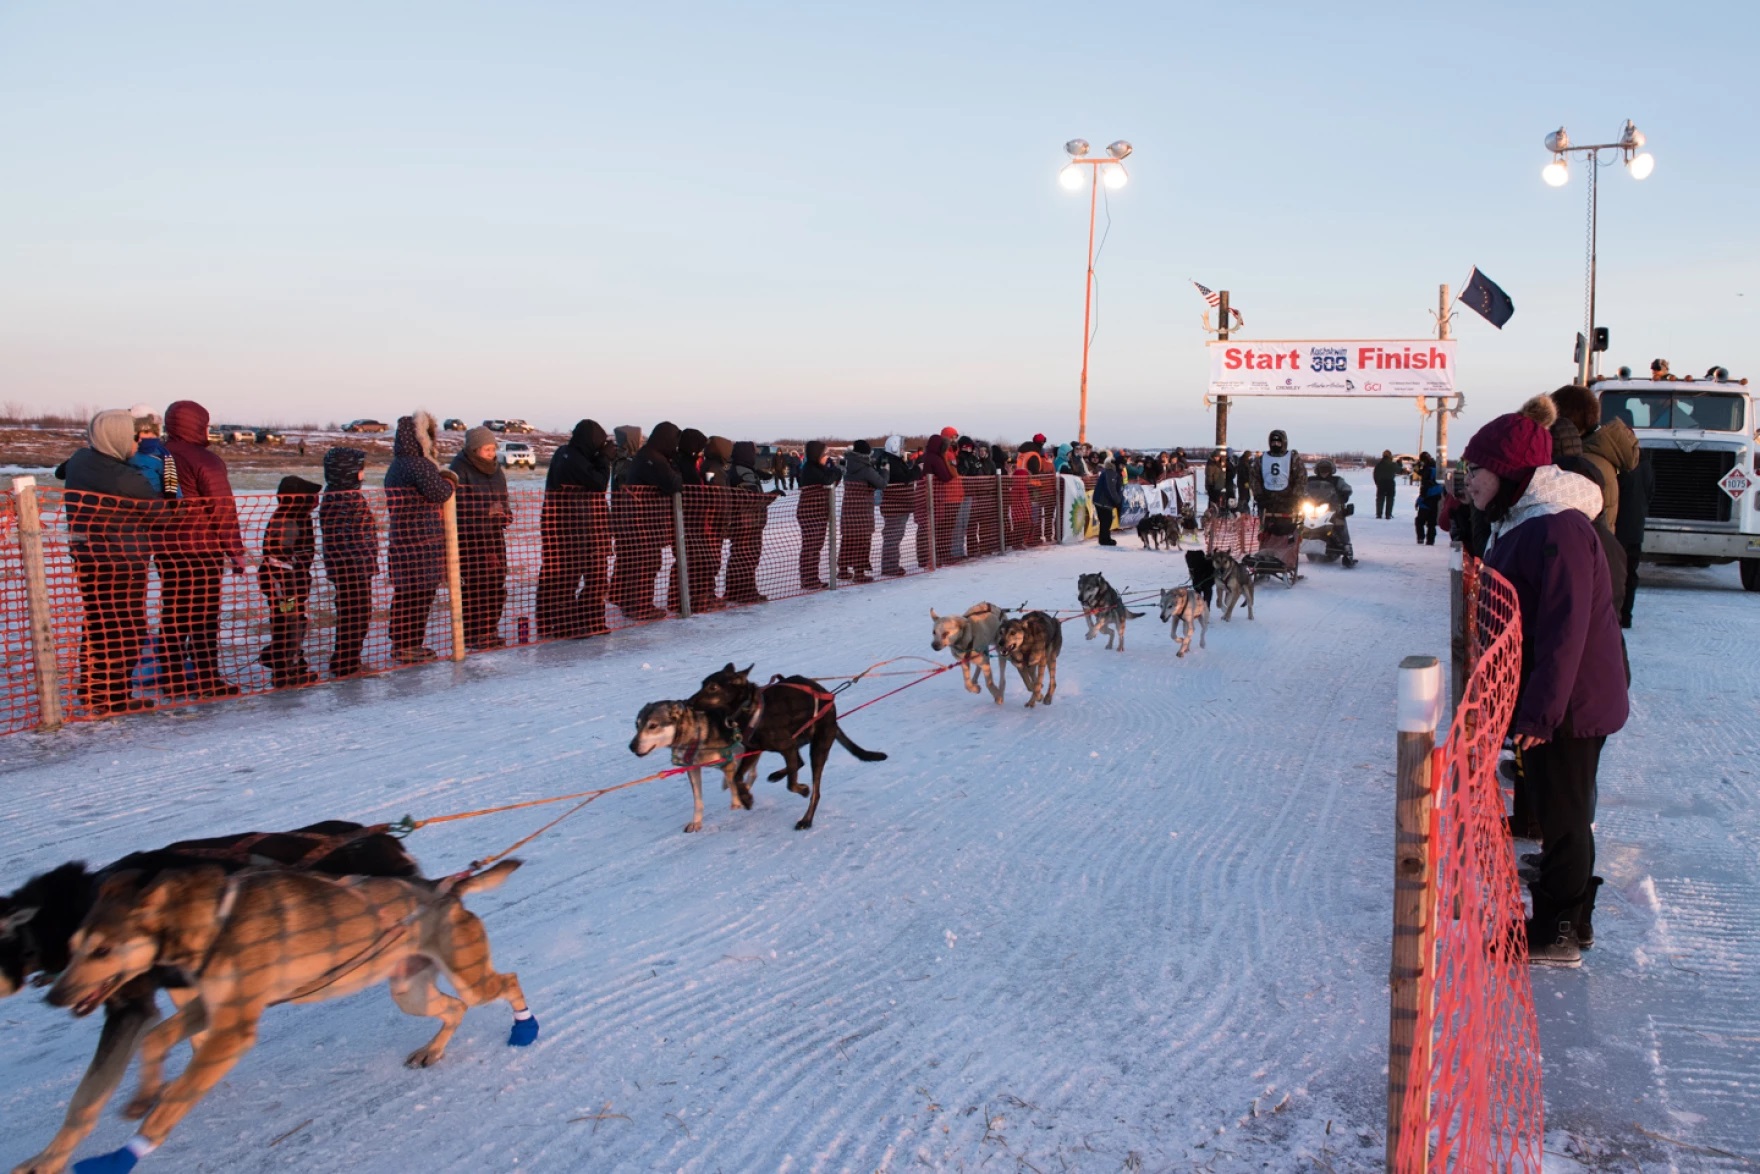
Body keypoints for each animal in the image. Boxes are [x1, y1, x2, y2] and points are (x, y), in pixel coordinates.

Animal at [49, 858, 535, 1168]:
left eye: (102, 950)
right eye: (73, 947)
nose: (54, 996)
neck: (215, 920)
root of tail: (445, 890)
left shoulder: (233, 1029)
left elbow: (170, 1106)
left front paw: (120, 1156)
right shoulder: (210, 1009)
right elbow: (153, 1040)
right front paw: (142, 1094)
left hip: (469, 977)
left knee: (508, 981)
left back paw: (525, 1029)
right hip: (407, 991)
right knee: (455, 1008)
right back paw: (432, 1051)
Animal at [630, 697, 746, 834]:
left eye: (652, 725)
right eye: (637, 725)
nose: (631, 746)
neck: (697, 733)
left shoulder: (730, 759)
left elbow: (734, 784)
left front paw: (737, 805)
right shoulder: (693, 768)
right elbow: (698, 800)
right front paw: (696, 822)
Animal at [689, 665, 887, 830]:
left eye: (713, 687)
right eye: (702, 684)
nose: (688, 702)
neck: (750, 710)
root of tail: (830, 703)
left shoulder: (787, 747)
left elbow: (792, 784)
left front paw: (803, 789)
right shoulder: (754, 751)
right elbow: (737, 778)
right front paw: (746, 798)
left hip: (818, 748)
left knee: (815, 789)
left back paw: (806, 819)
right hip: (801, 742)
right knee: (799, 763)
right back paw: (776, 776)